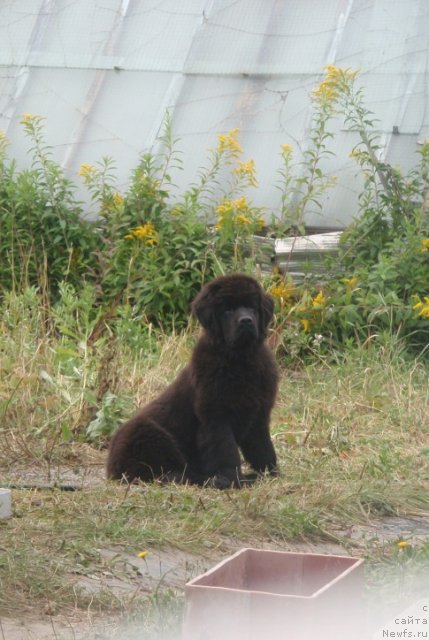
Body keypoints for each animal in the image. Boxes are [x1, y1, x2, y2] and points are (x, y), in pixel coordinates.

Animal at [105, 272, 276, 488]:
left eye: (253, 307)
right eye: (227, 310)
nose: (246, 321)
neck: (240, 360)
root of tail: (110, 466)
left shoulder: (259, 414)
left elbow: (263, 447)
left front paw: (271, 473)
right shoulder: (215, 417)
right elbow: (226, 451)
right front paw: (232, 479)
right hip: (148, 433)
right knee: (168, 472)